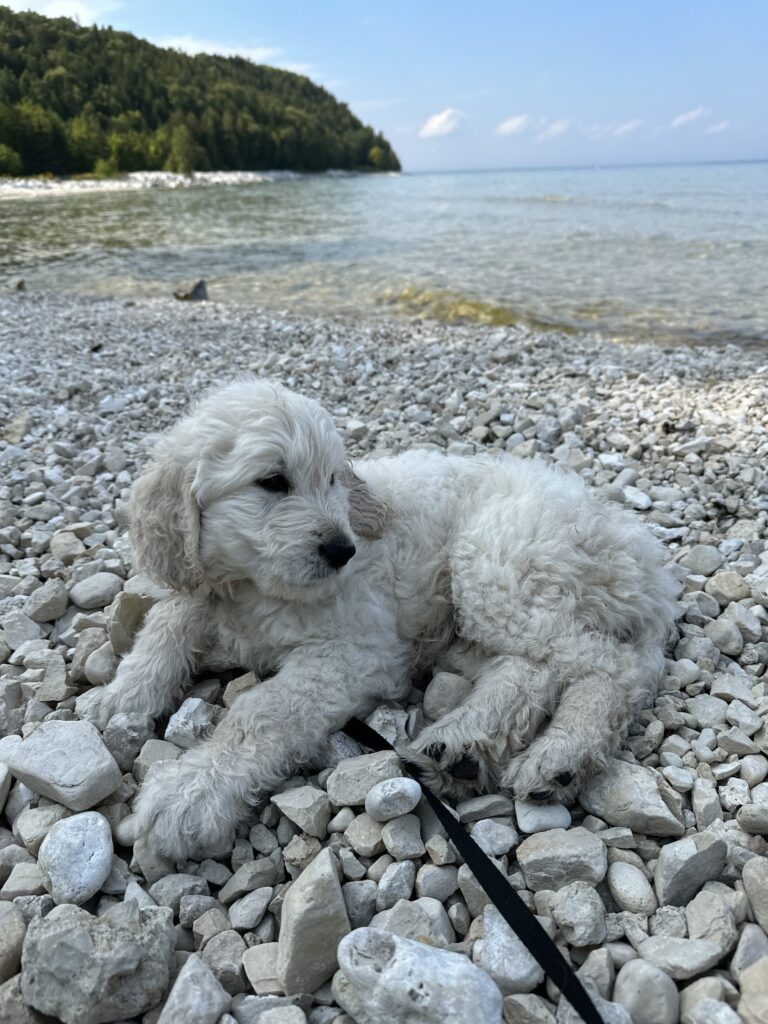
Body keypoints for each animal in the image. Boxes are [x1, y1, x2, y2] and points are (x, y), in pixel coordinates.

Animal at [87, 378, 678, 861]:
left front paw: (191, 793)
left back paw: (561, 755)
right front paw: (125, 697)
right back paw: (462, 746)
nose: (343, 550)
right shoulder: (205, 594)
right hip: (477, 615)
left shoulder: (358, 651)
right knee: (530, 668)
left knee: (610, 666)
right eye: (272, 481)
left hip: (497, 566)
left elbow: (262, 711)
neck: (252, 587)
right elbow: (168, 621)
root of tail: (637, 551)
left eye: (332, 479)